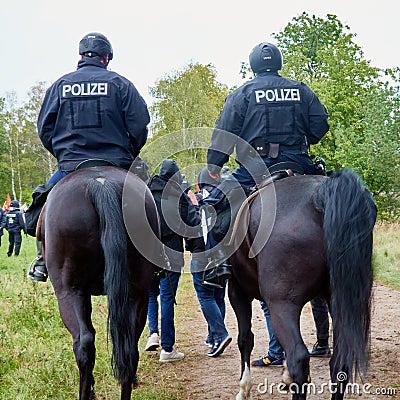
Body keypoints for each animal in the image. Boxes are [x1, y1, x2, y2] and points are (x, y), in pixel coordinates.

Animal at [230, 170, 376, 400]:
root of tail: (319, 195)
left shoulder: (237, 291)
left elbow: (245, 338)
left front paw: (244, 388)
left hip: (282, 304)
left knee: (299, 358)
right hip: (339, 304)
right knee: (340, 363)